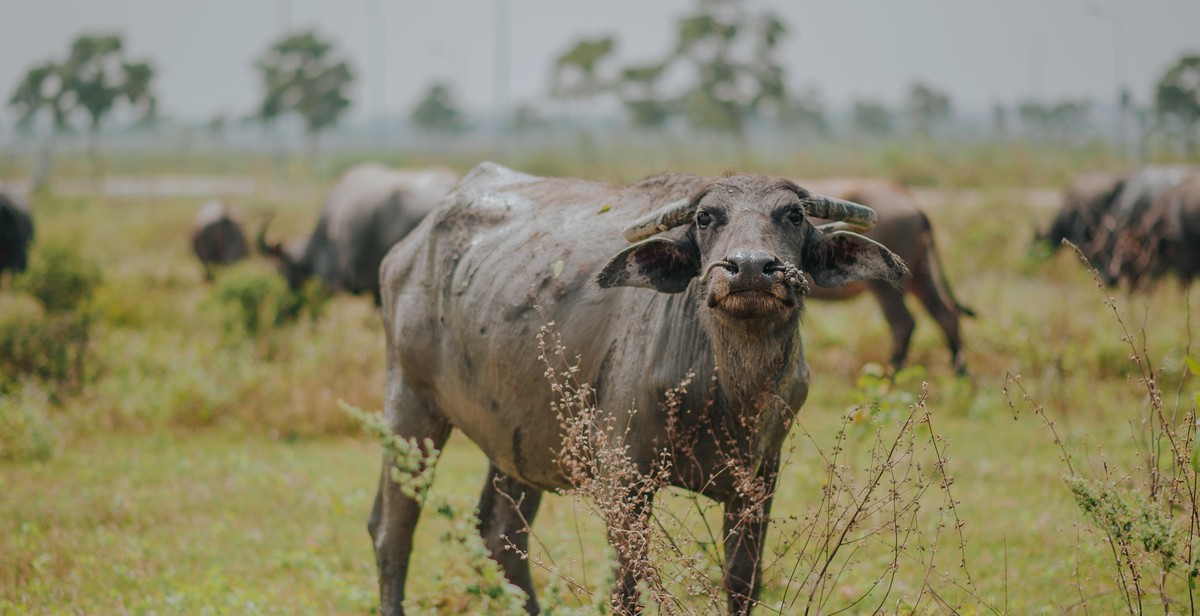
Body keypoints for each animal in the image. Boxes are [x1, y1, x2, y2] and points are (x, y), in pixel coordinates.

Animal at [369, 160, 902, 612]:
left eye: (793, 214)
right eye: (706, 218)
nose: (750, 267)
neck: (726, 391)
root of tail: (405, 253)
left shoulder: (759, 480)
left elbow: (742, 583)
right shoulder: (624, 478)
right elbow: (627, 588)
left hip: (518, 439)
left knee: (501, 535)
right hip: (411, 408)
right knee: (392, 529)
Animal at [796, 175, 974, 372]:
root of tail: (910, 199)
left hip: (885, 285)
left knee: (903, 324)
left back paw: (891, 373)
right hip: (920, 273)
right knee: (945, 314)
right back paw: (959, 372)